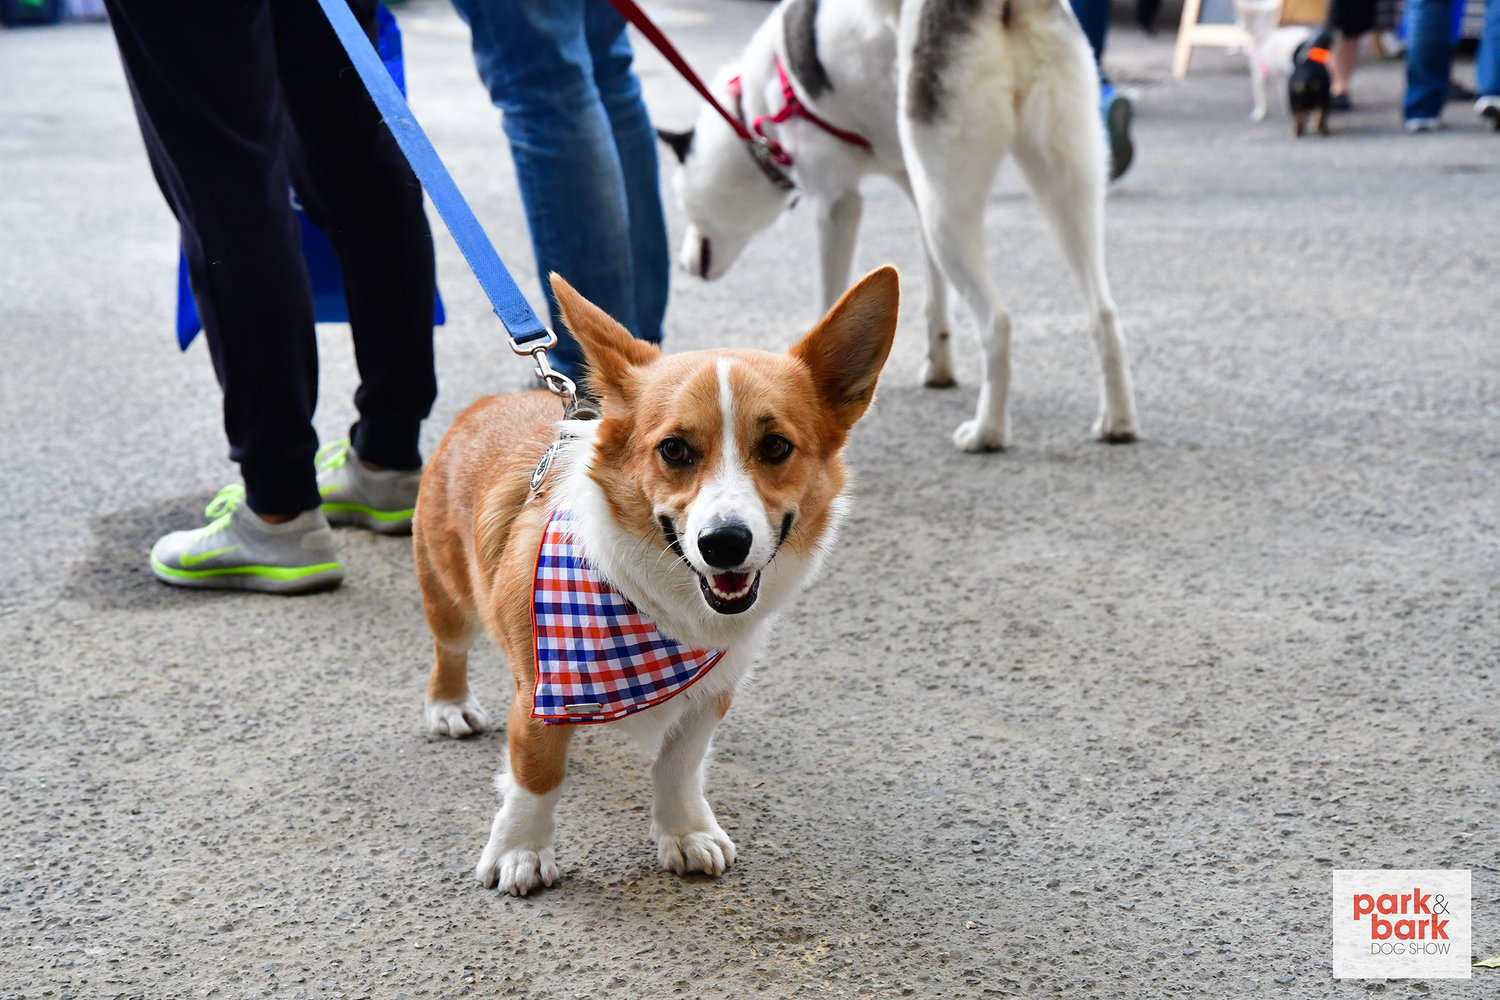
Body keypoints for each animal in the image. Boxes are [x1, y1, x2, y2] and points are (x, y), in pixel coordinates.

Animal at [411, 263, 894, 893]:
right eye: (674, 449)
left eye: (776, 446)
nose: (724, 543)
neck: (665, 606)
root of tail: (488, 402)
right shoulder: (540, 690)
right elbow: (535, 777)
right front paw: (520, 851)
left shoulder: (709, 694)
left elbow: (679, 767)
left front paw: (685, 833)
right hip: (446, 594)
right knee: (449, 647)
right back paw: (449, 706)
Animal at [660, 0, 1134, 452]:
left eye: (682, 203)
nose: (682, 265)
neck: (756, 110)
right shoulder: (913, 188)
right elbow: (935, 296)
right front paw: (939, 367)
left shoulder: (838, 205)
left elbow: (830, 295)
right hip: (1059, 182)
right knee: (1104, 310)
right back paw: (1117, 420)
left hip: (947, 205)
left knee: (997, 322)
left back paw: (989, 431)